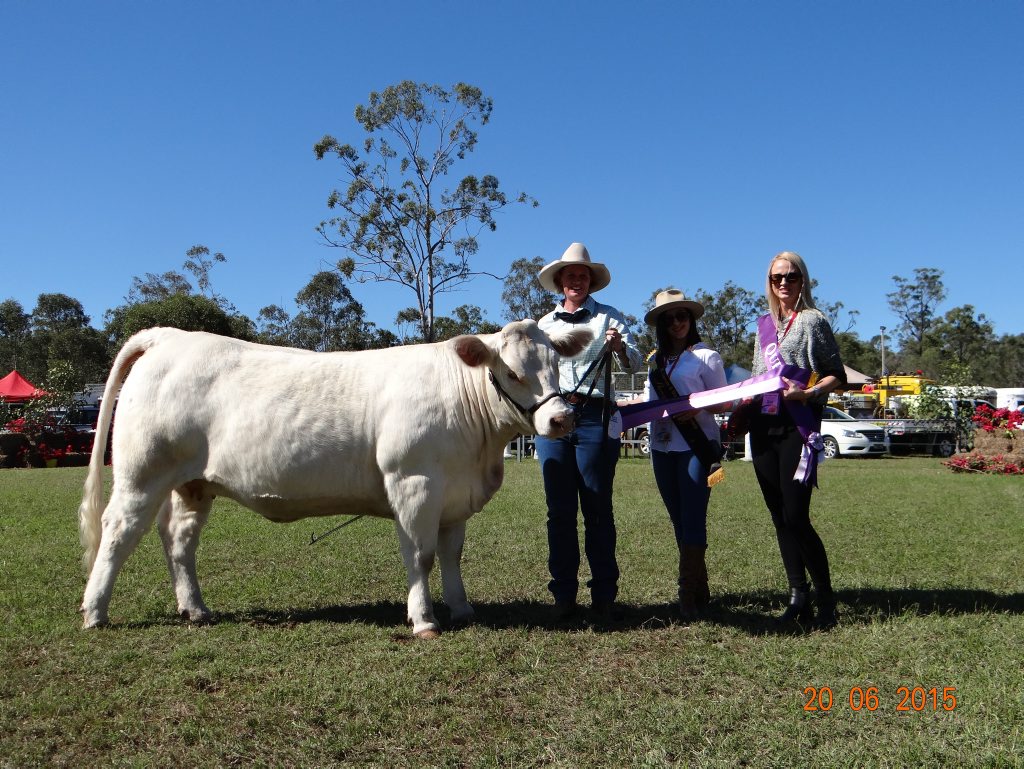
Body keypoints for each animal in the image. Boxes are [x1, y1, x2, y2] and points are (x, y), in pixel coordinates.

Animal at [79, 320, 591, 638]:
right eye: (512, 372)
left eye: (556, 364)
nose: (562, 419)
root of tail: (170, 336)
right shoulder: (414, 484)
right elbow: (420, 557)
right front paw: (424, 620)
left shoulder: (454, 495)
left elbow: (451, 555)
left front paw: (463, 610)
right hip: (141, 473)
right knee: (118, 533)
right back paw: (94, 612)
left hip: (191, 484)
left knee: (178, 540)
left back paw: (196, 610)